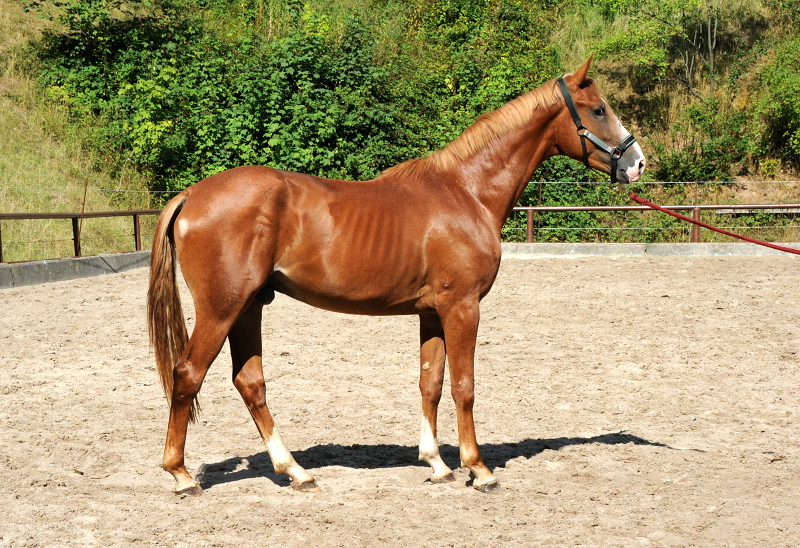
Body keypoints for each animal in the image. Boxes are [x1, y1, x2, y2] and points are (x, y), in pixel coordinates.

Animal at [147, 57, 648, 494]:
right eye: (598, 109)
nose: (637, 163)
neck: (467, 192)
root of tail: (191, 195)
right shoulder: (462, 307)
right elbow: (464, 387)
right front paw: (478, 469)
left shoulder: (432, 312)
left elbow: (431, 383)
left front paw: (437, 464)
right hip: (223, 307)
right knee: (188, 374)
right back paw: (181, 475)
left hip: (250, 306)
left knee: (250, 382)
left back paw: (296, 472)